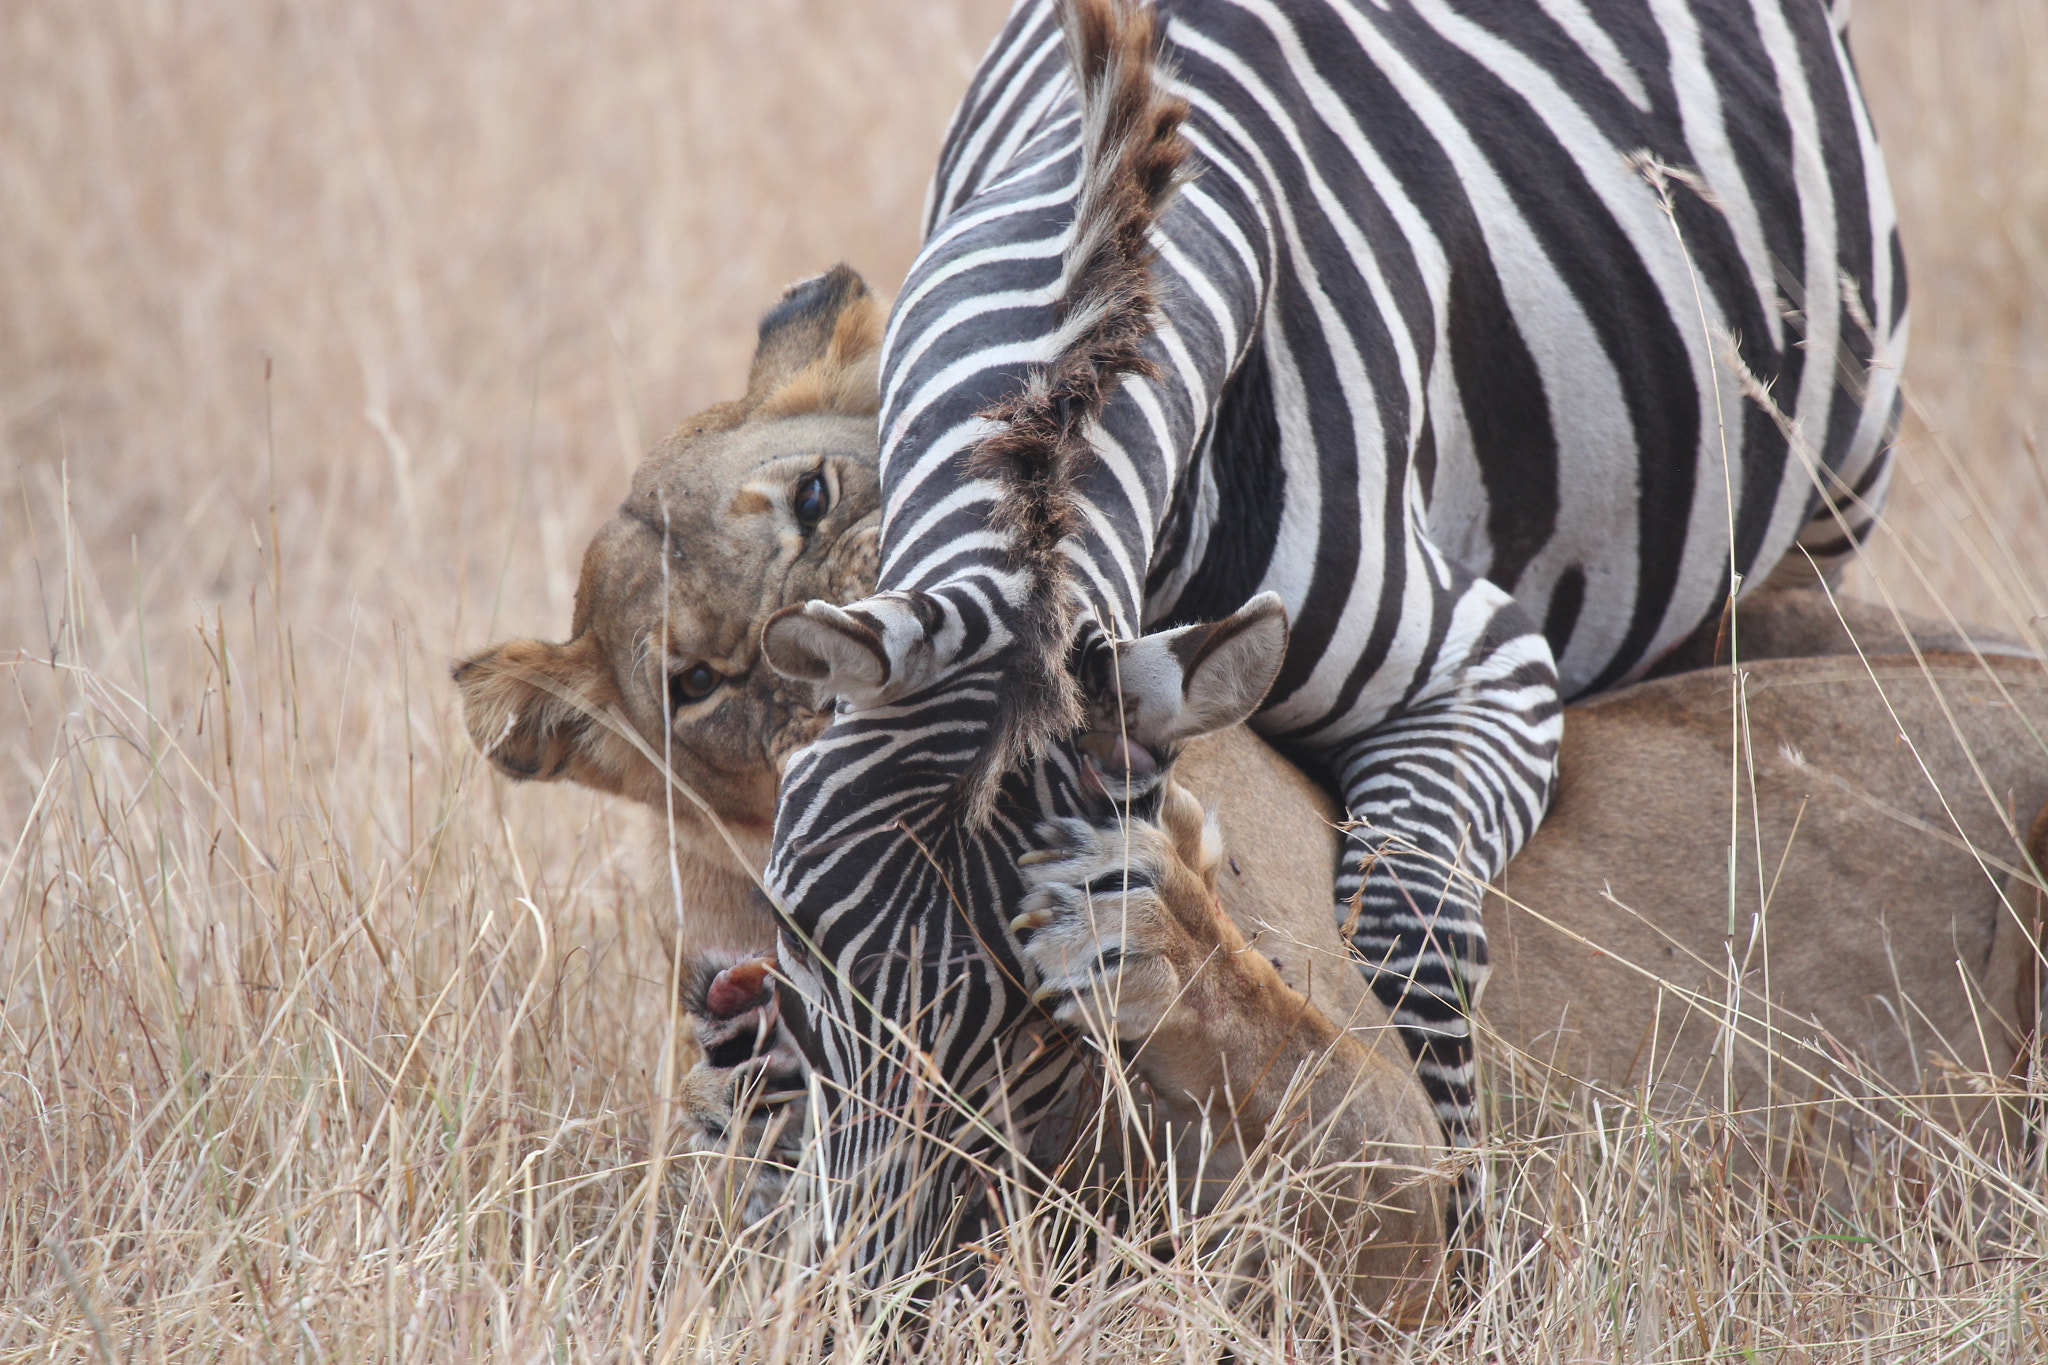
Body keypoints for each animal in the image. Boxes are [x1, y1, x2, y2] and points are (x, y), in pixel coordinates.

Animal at [757, 0, 1903, 1282]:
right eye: (794, 929)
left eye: (1046, 1036)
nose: (855, 1301)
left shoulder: (1481, 668)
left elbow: (1410, 936)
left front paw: (1455, 1251)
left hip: (1821, 494)